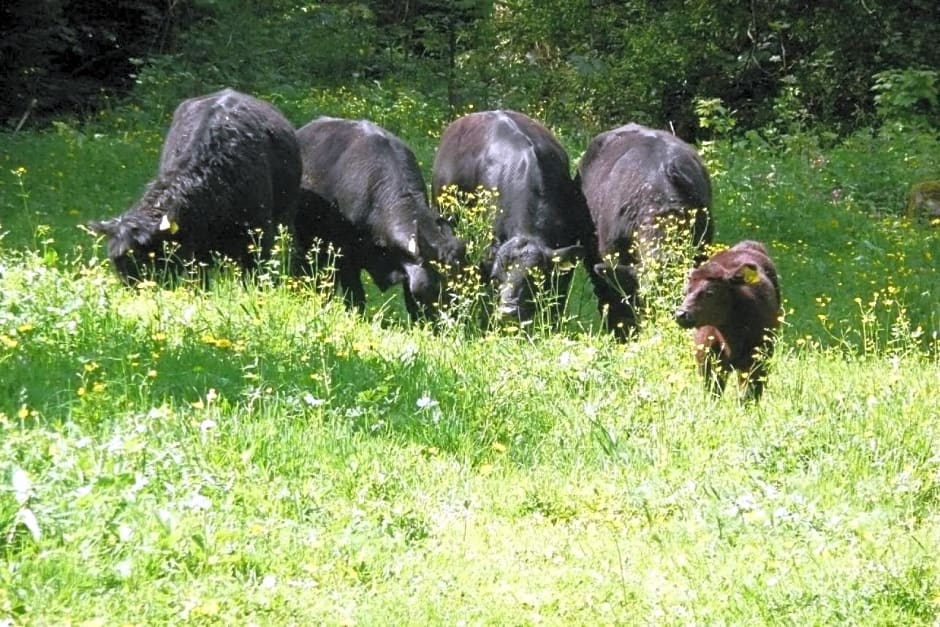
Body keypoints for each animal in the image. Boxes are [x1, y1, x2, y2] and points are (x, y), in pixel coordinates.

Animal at [672, 240, 784, 402]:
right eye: (685, 291)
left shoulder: (758, 361)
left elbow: (749, 396)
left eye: (710, 292)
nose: (681, 314)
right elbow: (713, 393)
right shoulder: (706, 361)